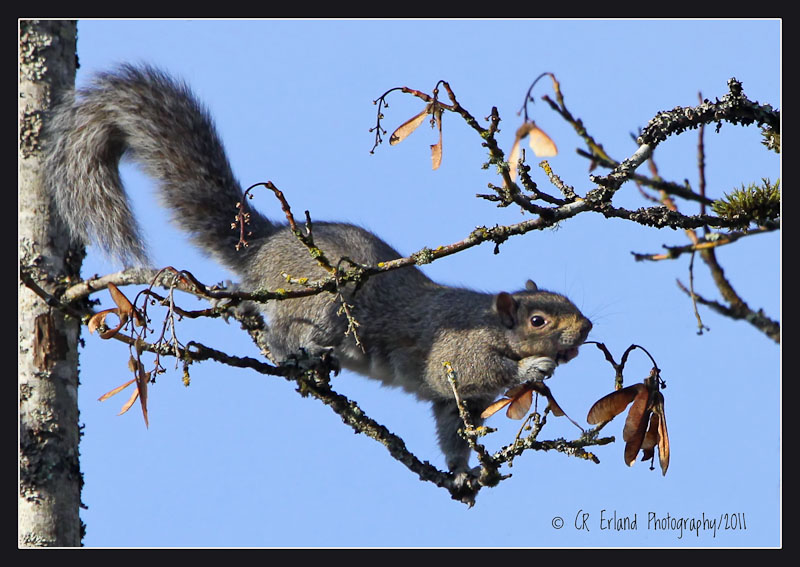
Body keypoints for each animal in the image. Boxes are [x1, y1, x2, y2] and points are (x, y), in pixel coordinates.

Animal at [45, 64, 592, 472]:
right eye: (538, 320)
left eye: (570, 302)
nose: (586, 328)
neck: (489, 319)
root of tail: (263, 246)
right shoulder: (457, 352)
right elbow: (464, 370)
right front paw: (532, 366)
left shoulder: (457, 403)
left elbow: (452, 426)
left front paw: (462, 472)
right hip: (324, 300)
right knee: (286, 331)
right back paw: (300, 351)